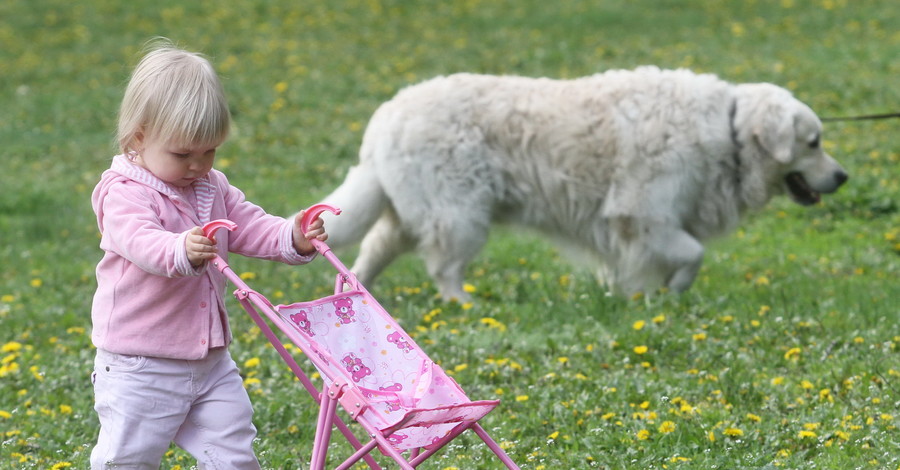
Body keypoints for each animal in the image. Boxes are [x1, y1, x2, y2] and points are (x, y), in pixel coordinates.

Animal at [320, 66, 848, 300]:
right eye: (814, 142)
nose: (842, 176)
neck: (730, 130)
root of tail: (387, 115)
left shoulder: (640, 225)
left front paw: (636, 295)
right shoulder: (644, 215)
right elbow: (692, 254)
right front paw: (671, 292)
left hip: (408, 213)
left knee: (373, 250)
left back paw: (360, 296)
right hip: (461, 215)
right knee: (443, 267)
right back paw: (463, 304)